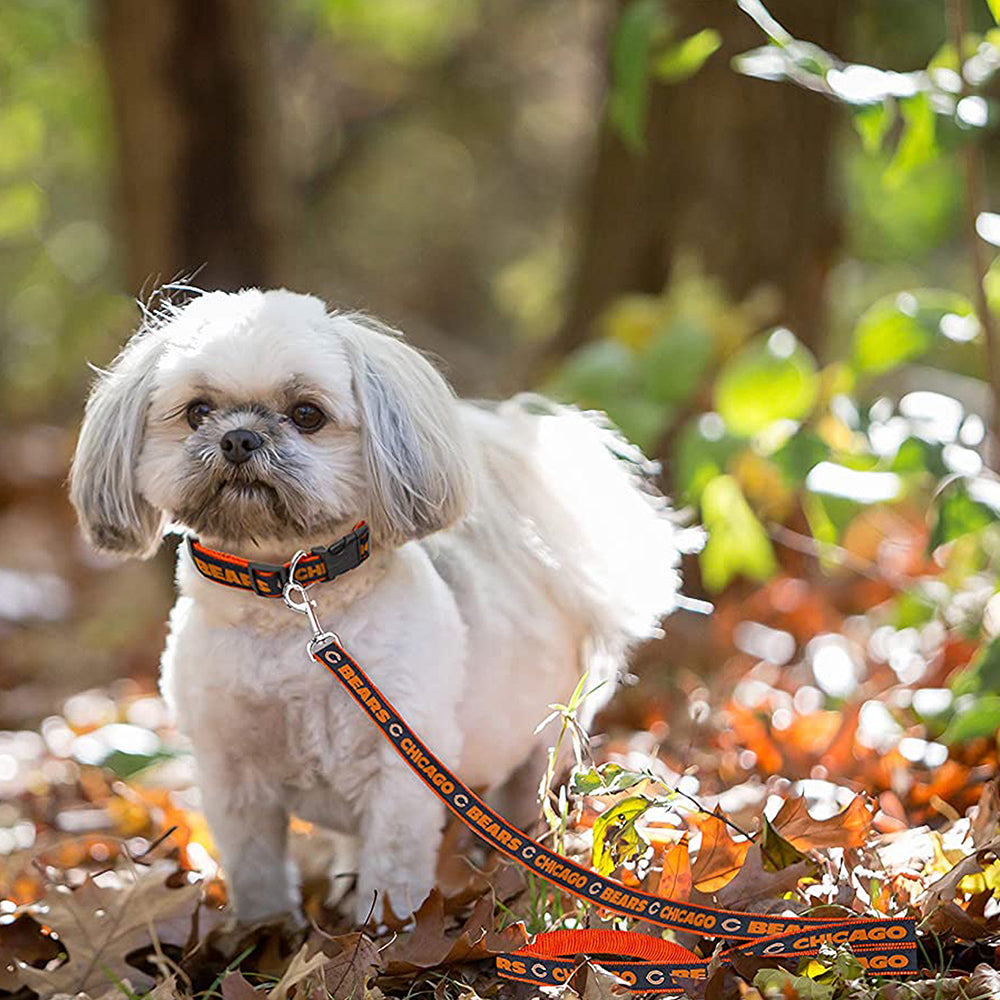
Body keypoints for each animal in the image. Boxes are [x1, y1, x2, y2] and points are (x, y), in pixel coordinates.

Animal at [68, 290, 680, 928]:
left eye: (307, 414)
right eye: (197, 411)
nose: (239, 438)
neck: (287, 599)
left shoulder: (403, 769)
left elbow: (392, 869)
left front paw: (384, 933)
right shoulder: (231, 776)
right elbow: (256, 870)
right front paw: (264, 933)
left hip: (540, 743)